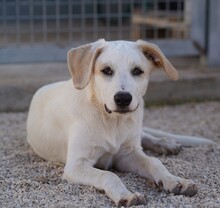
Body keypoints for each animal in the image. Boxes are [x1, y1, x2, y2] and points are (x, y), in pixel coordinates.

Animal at [26, 39, 214, 206]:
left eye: (137, 71)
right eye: (106, 70)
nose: (123, 98)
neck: (112, 121)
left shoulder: (127, 154)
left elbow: (154, 162)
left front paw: (175, 180)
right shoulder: (76, 165)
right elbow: (108, 175)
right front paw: (126, 195)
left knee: (145, 136)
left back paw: (165, 143)